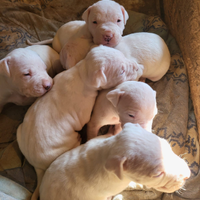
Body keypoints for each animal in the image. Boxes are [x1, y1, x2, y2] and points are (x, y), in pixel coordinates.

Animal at [17, 45, 142, 200]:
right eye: (121, 71)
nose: (137, 66)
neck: (82, 73)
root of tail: (37, 166)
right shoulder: (85, 113)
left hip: (19, 131)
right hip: (70, 144)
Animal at [39, 122, 191, 200]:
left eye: (167, 145)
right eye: (157, 174)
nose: (187, 176)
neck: (109, 151)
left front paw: (116, 127)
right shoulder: (116, 183)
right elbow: (132, 184)